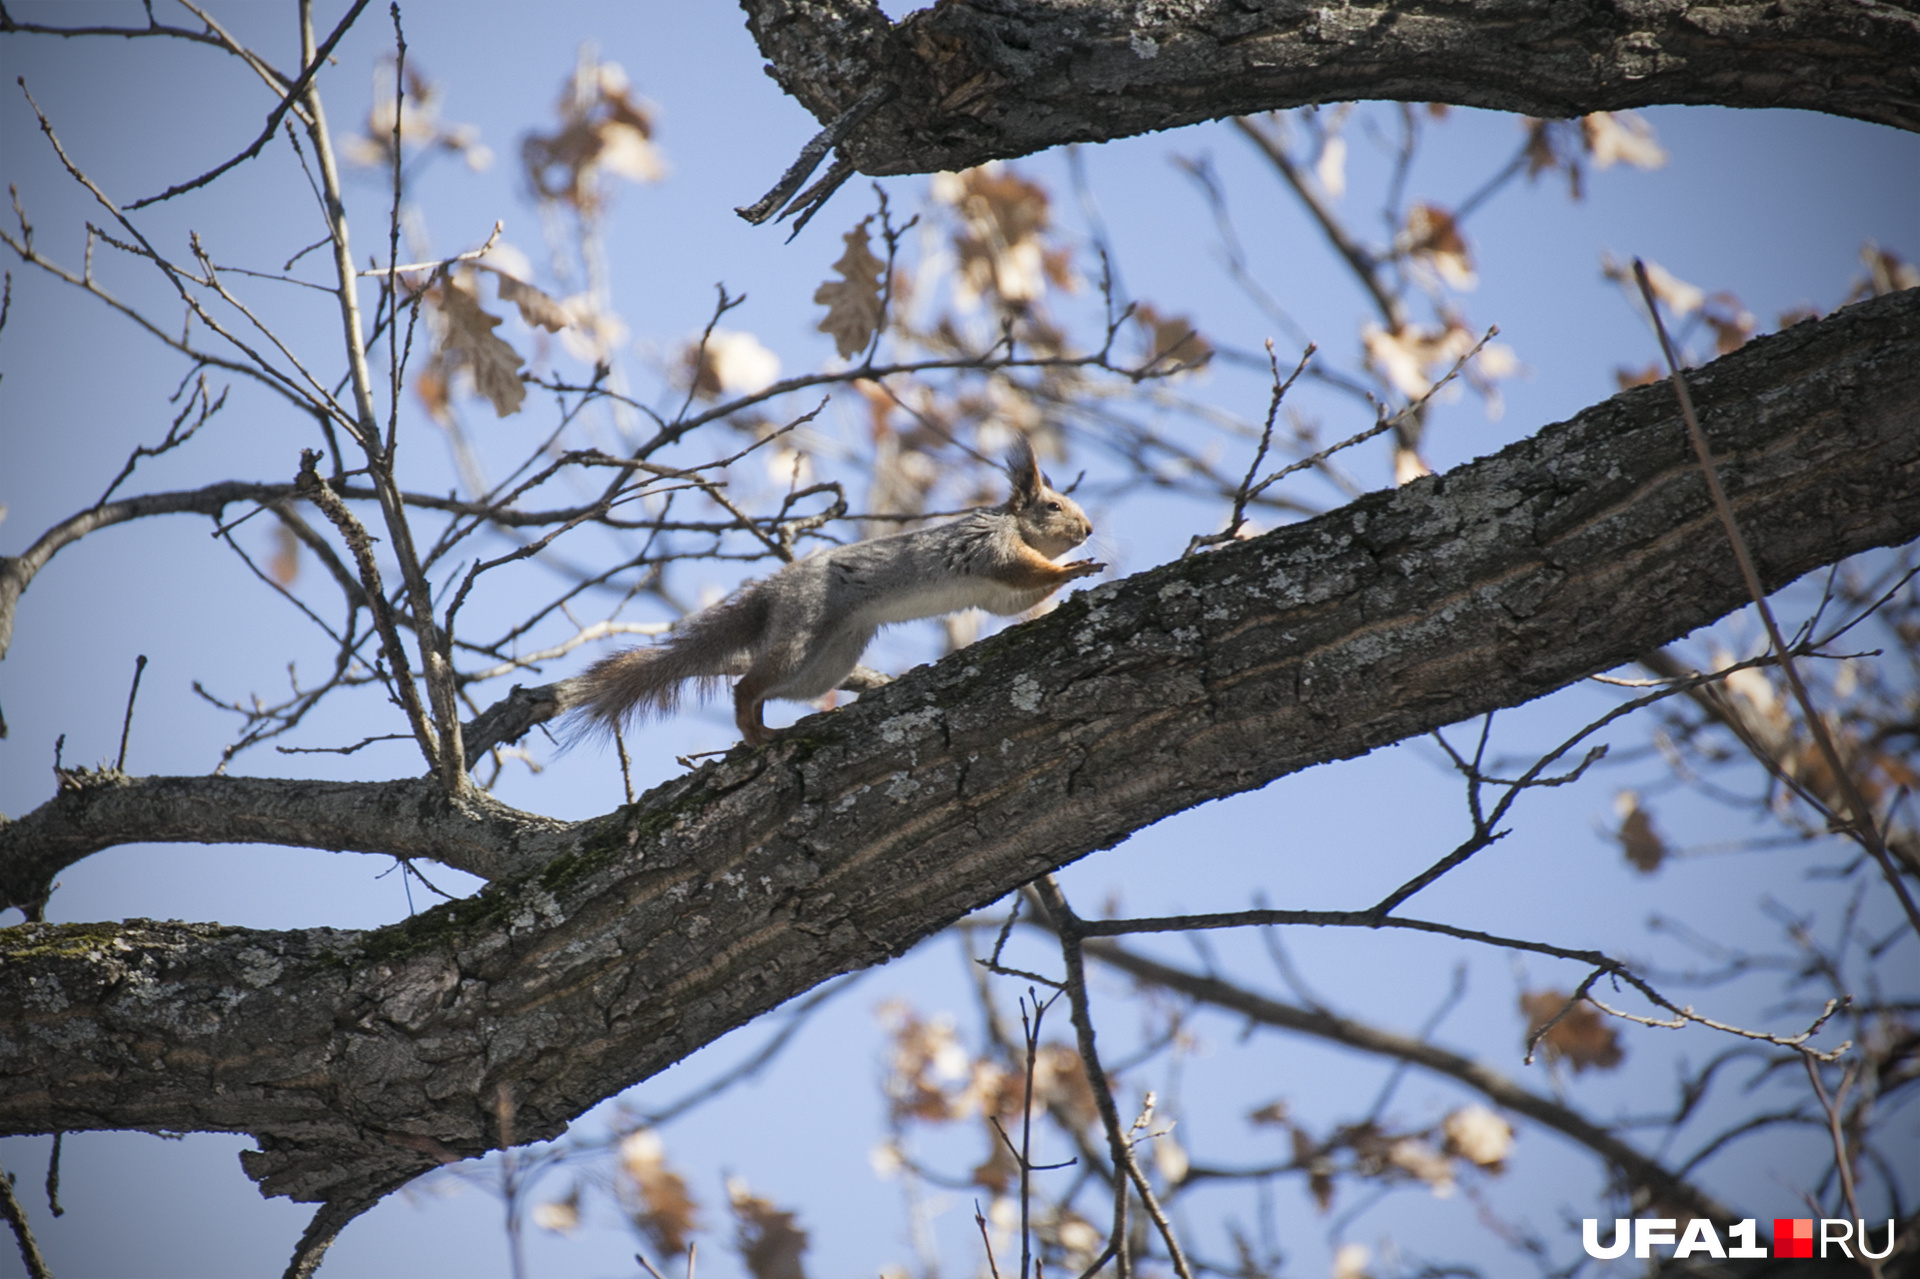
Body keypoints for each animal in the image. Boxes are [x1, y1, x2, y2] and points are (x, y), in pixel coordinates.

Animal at [568, 435, 1105, 748]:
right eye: (1054, 506)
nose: (1089, 529)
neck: (1012, 524)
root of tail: (773, 590)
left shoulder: (995, 593)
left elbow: (1013, 599)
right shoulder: (990, 549)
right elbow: (1023, 572)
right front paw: (1073, 568)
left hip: (826, 665)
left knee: (772, 688)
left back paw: (763, 726)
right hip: (803, 630)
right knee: (747, 686)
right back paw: (753, 731)